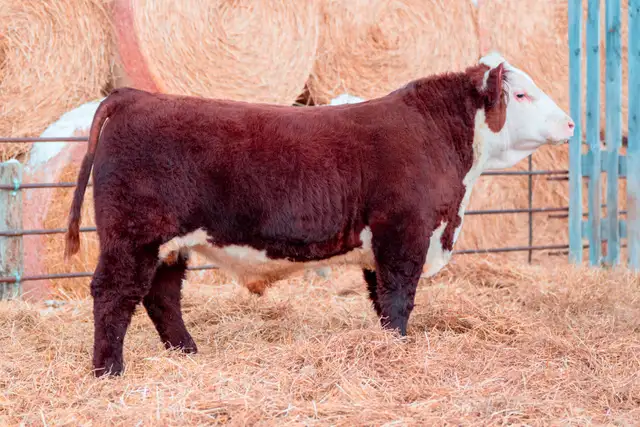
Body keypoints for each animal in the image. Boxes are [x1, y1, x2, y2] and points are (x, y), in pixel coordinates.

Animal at [64, 52, 574, 377]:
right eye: (522, 96)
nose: (571, 123)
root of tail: (135, 96)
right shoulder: (404, 234)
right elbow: (399, 299)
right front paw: (398, 350)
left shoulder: (381, 246)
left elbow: (381, 302)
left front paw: (387, 347)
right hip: (133, 234)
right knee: (114, 294)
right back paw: (108, 371)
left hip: (170, 244)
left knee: (162, 296)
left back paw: (188, 354)